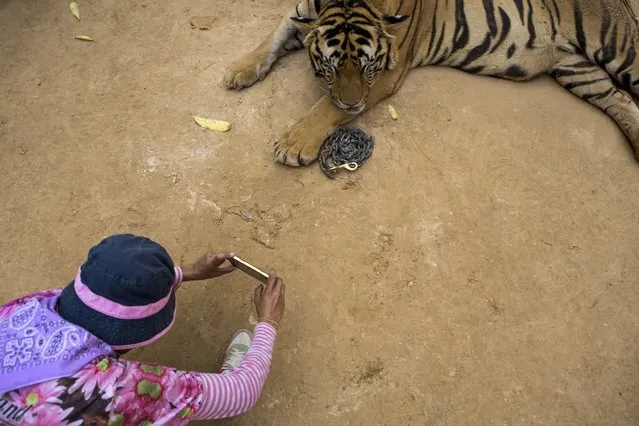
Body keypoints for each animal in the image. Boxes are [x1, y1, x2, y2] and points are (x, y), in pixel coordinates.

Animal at [222, 0, 639, 166]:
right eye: (329, 66)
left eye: (367, 66)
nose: (353, 106)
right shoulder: (301, 14)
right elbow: (272, 37)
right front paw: (239, 69)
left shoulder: (389, 70)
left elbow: (323, 107)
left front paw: (294, 143)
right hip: (577, 69)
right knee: (623, 101)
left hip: (618, 46)